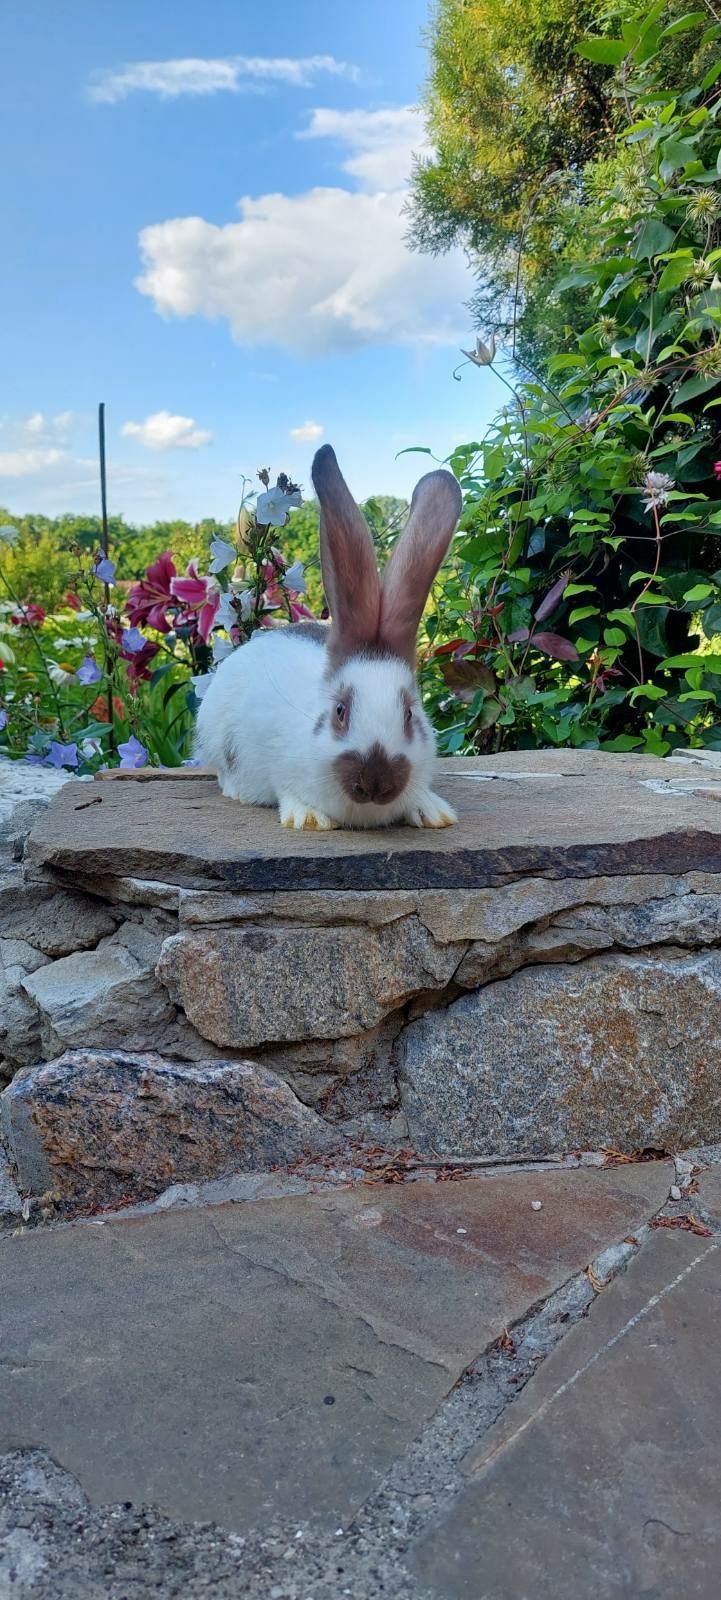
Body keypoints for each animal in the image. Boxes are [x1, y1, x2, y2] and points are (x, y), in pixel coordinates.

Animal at [193, 444, 463, 832]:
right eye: (340, 711)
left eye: (410, 714)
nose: (375, 781)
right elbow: (287, 790)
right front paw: (308, 819)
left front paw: (434, 813)